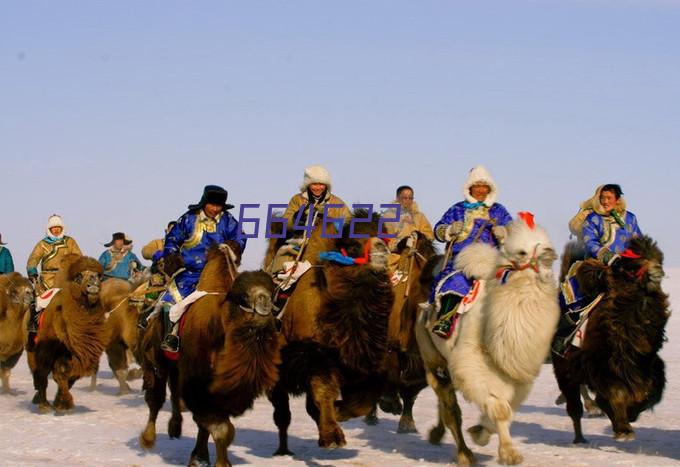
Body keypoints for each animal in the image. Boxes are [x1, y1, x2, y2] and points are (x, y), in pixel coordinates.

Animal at [418, 214, 560, 466]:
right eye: (522, 251)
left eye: (546, 242)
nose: (550, 254)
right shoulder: (473, 365)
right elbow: (500, 408)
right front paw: (510, 454)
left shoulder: (515, 376)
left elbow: (506, 408)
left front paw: (481, 432)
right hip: (433, 360)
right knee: (450, 408)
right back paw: (464, 454)